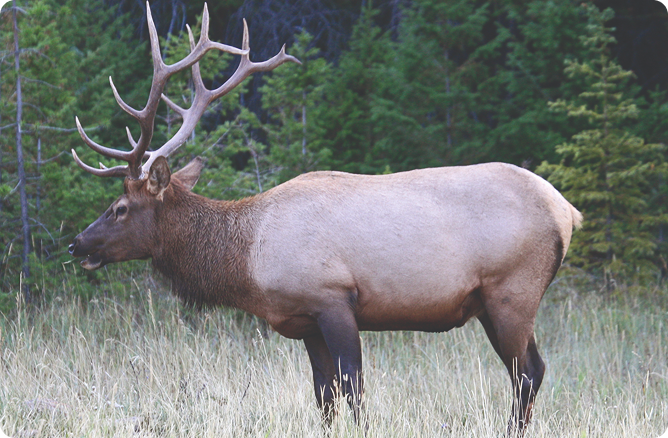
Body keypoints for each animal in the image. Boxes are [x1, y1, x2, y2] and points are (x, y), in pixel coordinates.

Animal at [67, 3, 582, 436]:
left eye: (119, 208)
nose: (77, 244)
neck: (249, 258)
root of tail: (567, 210)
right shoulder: (304, 321)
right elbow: (324, 395)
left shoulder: (333, 298)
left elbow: (352, 388)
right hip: (496, 302)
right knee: (528, 371)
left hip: (512, 291)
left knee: (528, 372)